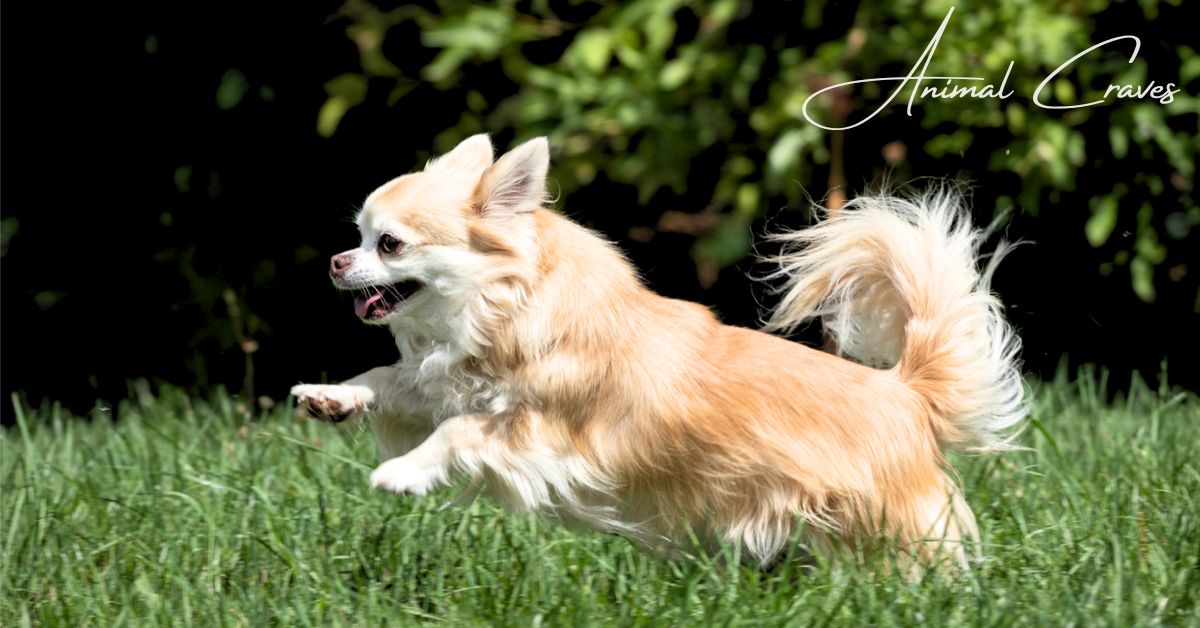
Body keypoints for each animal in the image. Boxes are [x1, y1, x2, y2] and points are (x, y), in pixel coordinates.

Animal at [292, 136, 1032, 569]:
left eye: (389, 244)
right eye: (358, 236)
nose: (335, 261)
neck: (504, 311)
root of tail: (904, 391)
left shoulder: (541, 435)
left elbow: (457, 433)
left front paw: (401, 474)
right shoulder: (443, 383)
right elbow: (391, 379)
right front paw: (330, 397)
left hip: (887, 525)